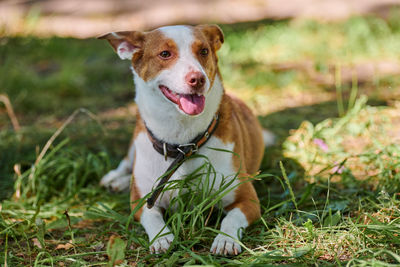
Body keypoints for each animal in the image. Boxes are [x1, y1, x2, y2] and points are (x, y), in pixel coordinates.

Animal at [98, 25, 274, 258]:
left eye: (204, 51)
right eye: (165, 54)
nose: (197, 79)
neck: (182, 143)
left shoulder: (247, 199)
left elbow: (231, 218)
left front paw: (225, 240)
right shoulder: (142, 203)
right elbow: (152, 217)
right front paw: (162, 238)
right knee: (127, 163)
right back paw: (116, 179)